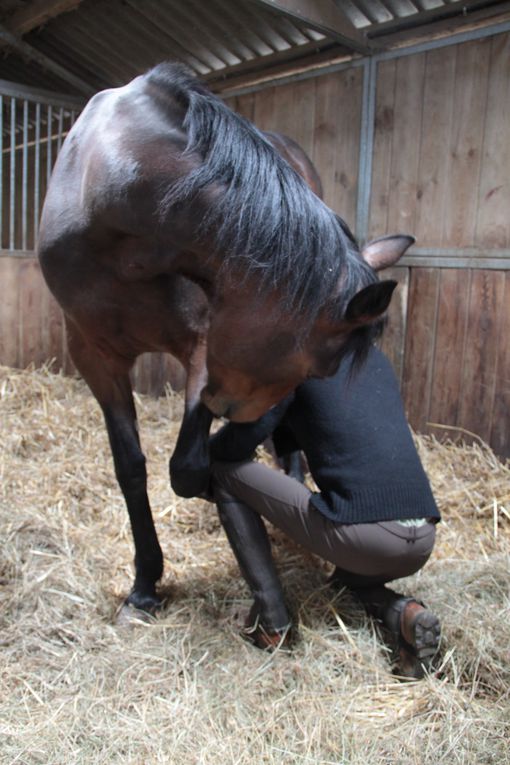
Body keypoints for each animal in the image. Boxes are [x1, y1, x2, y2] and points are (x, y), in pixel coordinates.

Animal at [38, 65, 414, 616]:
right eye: (321, 369)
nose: (233, 411)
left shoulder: (202, 349)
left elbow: (189, 467)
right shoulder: (94, 356)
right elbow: (132, 468)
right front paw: (144, 585)